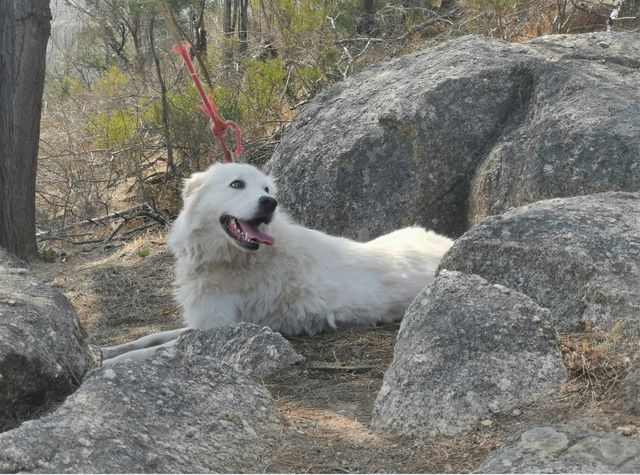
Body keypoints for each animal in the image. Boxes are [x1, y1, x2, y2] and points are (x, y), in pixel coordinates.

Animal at [102, 163, 452, 364]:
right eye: (237, 184)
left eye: (267, 189)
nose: (270, 202)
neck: (233, 258)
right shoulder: (201, 323)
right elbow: (148, 338)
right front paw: (107, 351)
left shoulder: (212, 331)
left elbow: (148, 351)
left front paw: (106, 364)